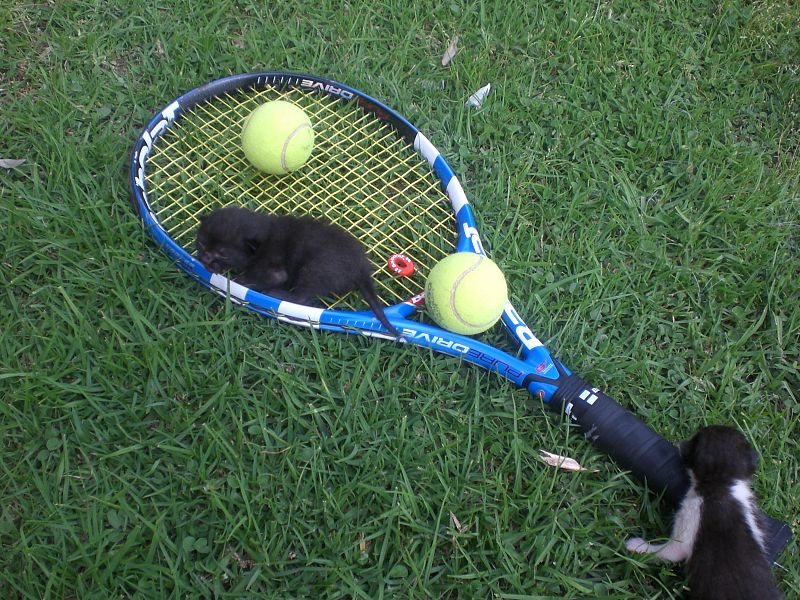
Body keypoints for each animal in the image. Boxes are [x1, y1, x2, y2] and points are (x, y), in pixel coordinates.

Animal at [198, 206, 404, 338]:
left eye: (223, 254)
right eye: (201, 241)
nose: (205, 256)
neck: (265, 234)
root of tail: (361, 268)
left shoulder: (275, 271)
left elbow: (255, 277)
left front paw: (236, 278)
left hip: (314, 269)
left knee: (302, 297)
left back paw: (276, 294)